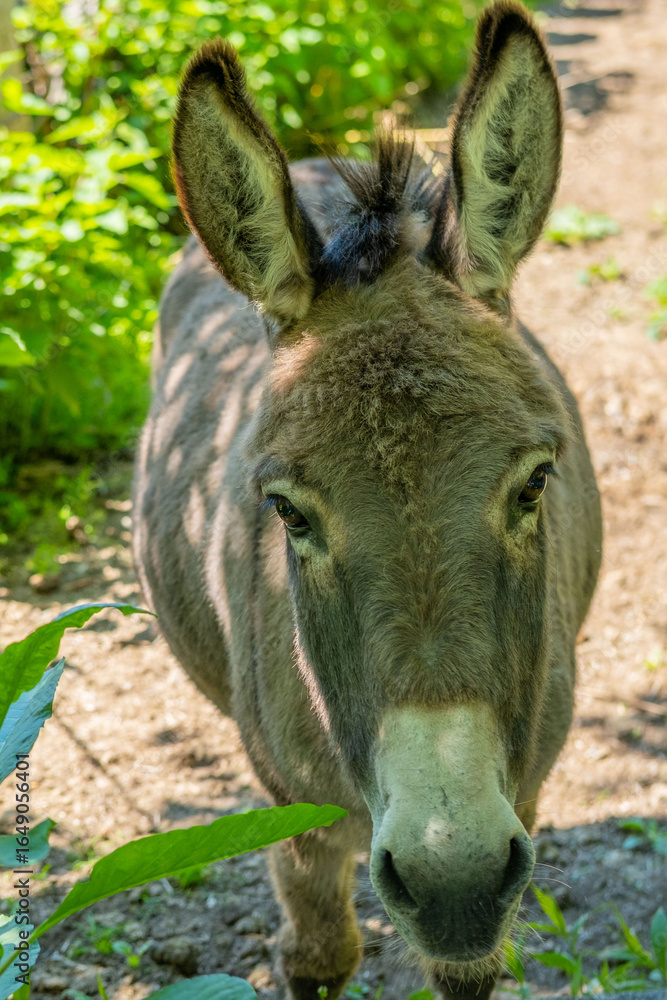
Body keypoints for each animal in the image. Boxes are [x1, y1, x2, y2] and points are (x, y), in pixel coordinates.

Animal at [133, 3, 602, 996]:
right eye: (287, 512)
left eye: (534, 482)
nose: (452, 871)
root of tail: (318, 159)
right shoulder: (292, 821)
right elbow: (319, 954)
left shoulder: (522, 802)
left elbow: (466, 968)